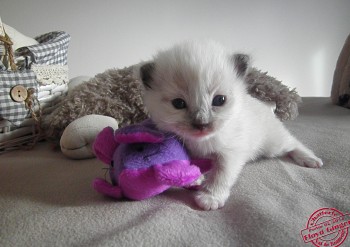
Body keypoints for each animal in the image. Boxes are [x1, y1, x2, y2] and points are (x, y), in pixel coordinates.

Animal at [137, 40, 322, 210]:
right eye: (178, 103)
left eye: (219, 100)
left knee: (293, 142)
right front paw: (194, 179)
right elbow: (184, 164)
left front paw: (210, 197)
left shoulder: (231, 153)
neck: (201, 142)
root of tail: (266, 107)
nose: (202, 124)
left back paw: (310, 159)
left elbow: (221, 175)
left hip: (273, 145)